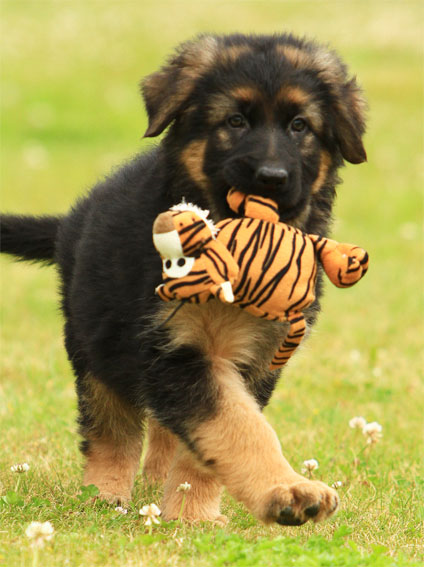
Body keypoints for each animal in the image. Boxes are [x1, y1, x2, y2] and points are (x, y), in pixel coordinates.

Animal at [1, 33, 367, 526]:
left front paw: (193, 513)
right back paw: (104, 494)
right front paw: (285, 490)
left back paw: (157, 484)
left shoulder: (256, 357)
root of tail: (71, 223)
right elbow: (237, 425)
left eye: (299, 126)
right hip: (96, 343)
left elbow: (212, 440)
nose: (271, 178)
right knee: (111, 429)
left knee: (163, 428)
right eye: (234, 121)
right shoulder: (174, 347)